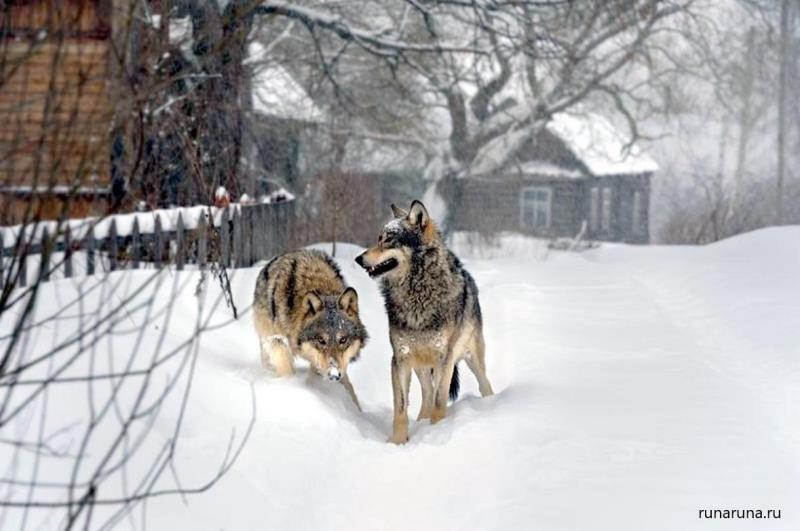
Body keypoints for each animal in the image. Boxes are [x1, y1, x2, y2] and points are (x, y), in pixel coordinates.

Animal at [252, 249, 368, 412]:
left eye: (343, 340)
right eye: (321, 340)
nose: (334, 375)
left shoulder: (334, 365)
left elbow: (349, 388)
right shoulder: (277, 340)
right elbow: (285, 366)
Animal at [356, 202, 494, 442]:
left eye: (388, 239)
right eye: (378, 238)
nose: (358, 259)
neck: (417, 293)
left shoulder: (444, 359)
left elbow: (440, 403)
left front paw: (437, 434)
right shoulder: (400, 359)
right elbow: (401, 407)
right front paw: (398, 442)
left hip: (471, 359)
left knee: (483, 384)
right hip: (420, 365)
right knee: (427, 395)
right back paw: (421, 423)